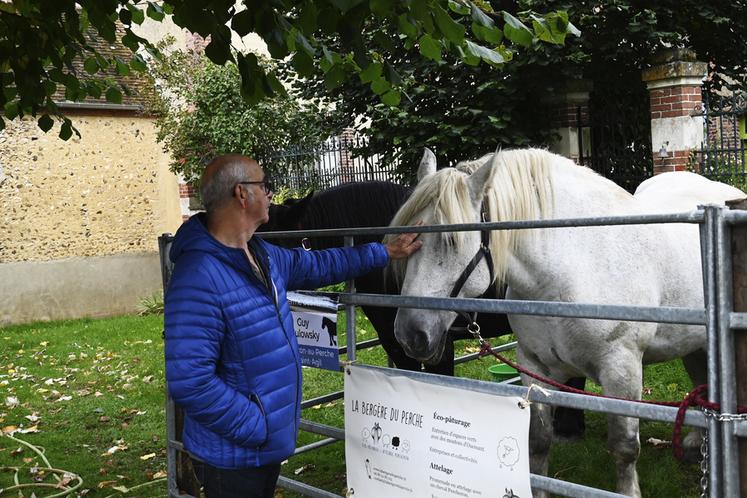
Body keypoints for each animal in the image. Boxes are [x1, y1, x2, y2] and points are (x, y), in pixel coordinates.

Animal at [389, 147, 745, 498]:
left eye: (451, 240)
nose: (410, 334)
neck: (570, 267)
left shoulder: (622, 371)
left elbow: (624, 447)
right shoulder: (535, 366)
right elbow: (538, 441)